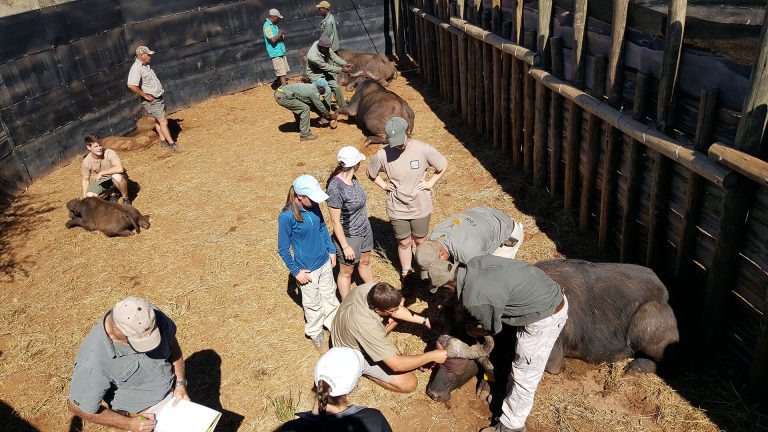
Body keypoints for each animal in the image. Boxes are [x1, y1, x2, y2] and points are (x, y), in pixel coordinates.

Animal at [426, 258, 680, 404]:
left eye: (457, 364)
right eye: (439, 361)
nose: (433, 394)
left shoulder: (552, 361)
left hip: (646, 320)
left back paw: (635, 367)